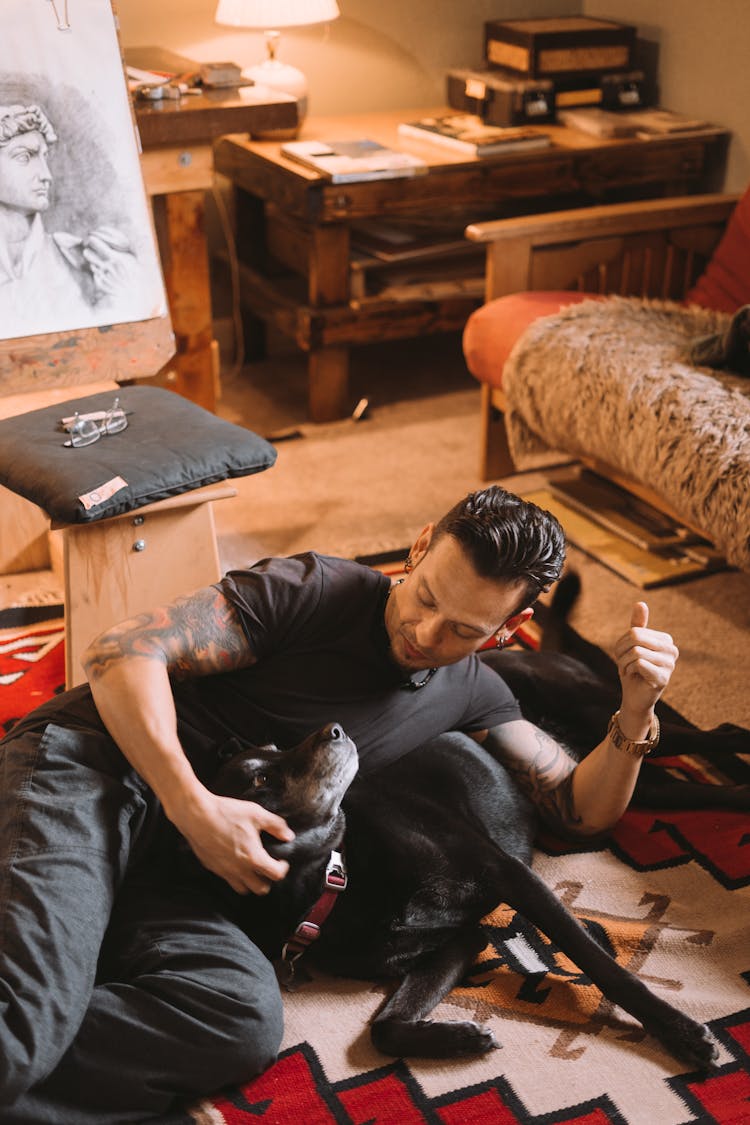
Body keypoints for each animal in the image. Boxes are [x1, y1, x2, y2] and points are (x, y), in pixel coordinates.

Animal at [211, 724, 719, 1066]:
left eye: (277, 748)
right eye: (260, 781)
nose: (334, 728)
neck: (341, 879)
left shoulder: (507, 873)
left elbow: (604, 967)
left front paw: (682, 1034)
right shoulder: (458, 941)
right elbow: (383, 1029)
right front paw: (462, 1040)